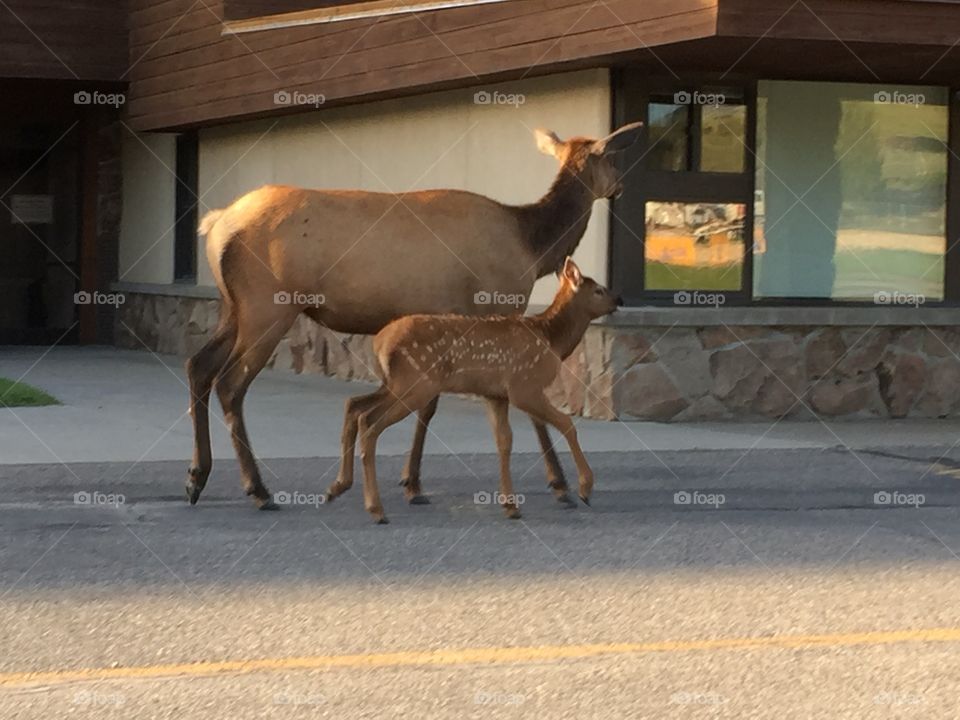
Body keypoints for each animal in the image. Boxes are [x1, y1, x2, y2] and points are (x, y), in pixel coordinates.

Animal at [329, 258, 620, 523]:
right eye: (598, 290)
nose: (619, 298)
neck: (551, 341)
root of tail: (379, 342)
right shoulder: (524, 385)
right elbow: (566, 423)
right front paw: (585, 488)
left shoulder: (496, 394)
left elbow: (504, 441)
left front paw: (510, 505)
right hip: (415, 383)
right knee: (369, 422)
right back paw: (376, 509)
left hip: (394, 383)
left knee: (354, 405)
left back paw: (338, 487)